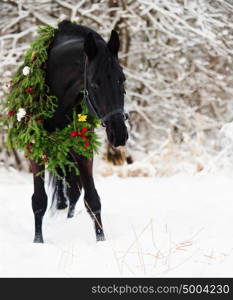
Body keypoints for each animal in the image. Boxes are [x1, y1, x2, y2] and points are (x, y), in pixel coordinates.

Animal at [30, 19, 128, 243]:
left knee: (73, 192)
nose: (119, 133)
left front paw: (101, 242)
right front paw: (38, 242)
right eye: (94, 83)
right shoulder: (34, 148)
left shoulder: (82, 148)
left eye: (122, 79)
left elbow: (92, 200)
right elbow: (39, 201)